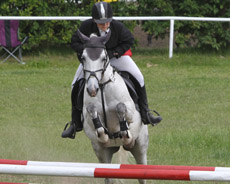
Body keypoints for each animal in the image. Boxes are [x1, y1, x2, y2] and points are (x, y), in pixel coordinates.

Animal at [78, 29, 148, 183]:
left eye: (104, 58)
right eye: (83, 57)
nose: (92, 89)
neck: (102, 87)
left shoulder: (130, 110)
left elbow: (120, 107)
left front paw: (125, 131)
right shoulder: (87, 117)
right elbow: (92, 111)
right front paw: (103, 133)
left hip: (140, 146)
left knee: (141, 172)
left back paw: (126, 137)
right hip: (102, 152)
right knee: (108, 176)